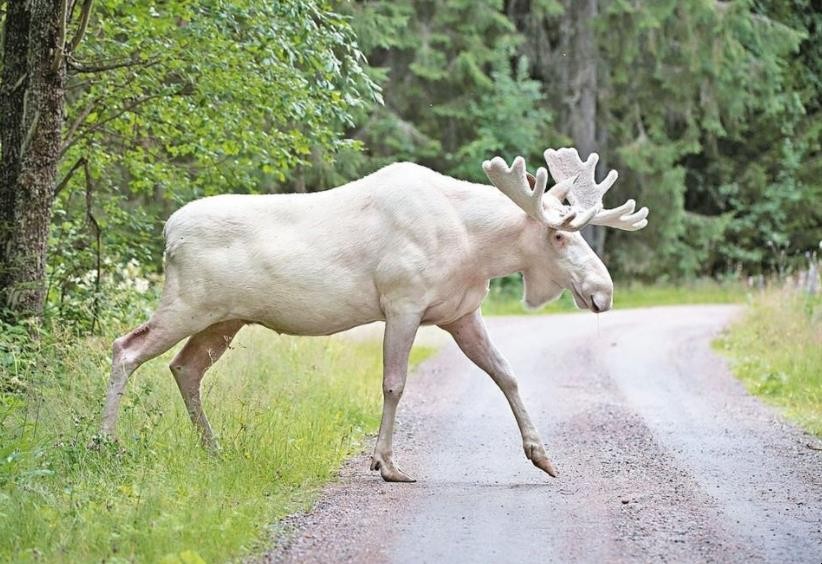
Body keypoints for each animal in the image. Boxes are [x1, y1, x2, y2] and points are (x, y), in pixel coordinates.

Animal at [100, 145, 652, 480]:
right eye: (558, 235)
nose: (603, 291)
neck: (475, 248)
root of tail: (168, 232)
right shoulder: (402, 302)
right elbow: (394, 384)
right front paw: (386, 464)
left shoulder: (460, 314)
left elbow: (507, 375)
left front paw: (542, 456)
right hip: (188, 304)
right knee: (125, 348)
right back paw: (106, 443)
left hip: (223, 319)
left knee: (184, 367)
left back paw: (212, 448)